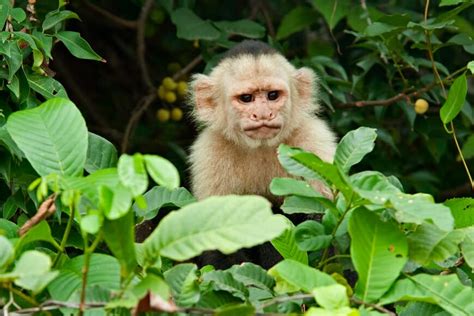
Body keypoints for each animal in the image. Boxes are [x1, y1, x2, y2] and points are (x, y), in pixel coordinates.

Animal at [187, 39, 336, 266]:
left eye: (272, 95)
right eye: (246, 98)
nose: (264, 114)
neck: (261, 146)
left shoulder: (313, 141)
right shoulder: (209, 151)